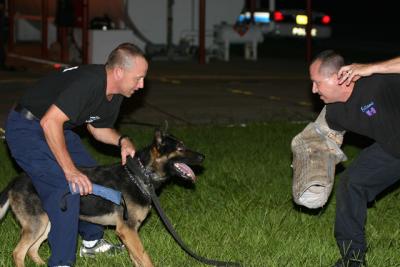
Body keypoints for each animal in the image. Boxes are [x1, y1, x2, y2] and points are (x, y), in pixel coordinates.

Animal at [0, 129, 205, 266]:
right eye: (180, 148)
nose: (203, 157)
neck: (141, 174)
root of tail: (15, 181)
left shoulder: (130, 234)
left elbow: (137, 258)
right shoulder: (127, 230)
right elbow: (145, 258)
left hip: (46, 224)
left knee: (32, 249)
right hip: (37, 225)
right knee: (18, 253)